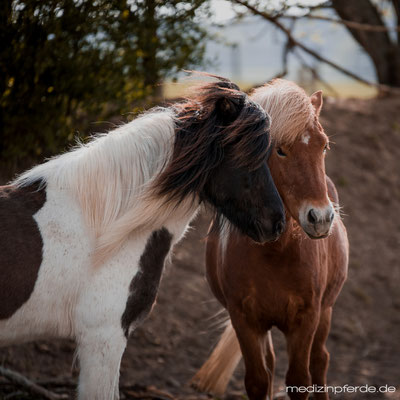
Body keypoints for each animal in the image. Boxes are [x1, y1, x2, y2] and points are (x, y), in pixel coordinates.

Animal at [192, 80, 348, 400]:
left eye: (324, 146)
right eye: (280, 151)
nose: (321, 218)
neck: (275, 252)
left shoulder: (307, 319)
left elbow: (300, 379)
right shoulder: (245, 320)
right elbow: (257, 380)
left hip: (326, 311)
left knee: (320, 361)